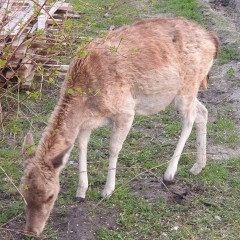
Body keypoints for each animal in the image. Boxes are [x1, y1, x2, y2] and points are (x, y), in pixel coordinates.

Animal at [20, 17, 219, 236]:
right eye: (22, 193)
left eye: (50, 195)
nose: (31, 231)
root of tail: (213, 39)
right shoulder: (87, 122)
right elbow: (81, 146)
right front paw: (81, 192)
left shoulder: (125, 110)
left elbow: (114, 147)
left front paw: (107, 190)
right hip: (186, 92)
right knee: (203, 112)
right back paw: (198, 166)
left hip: (188, 86)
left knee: (190, 118)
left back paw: (170, 173)